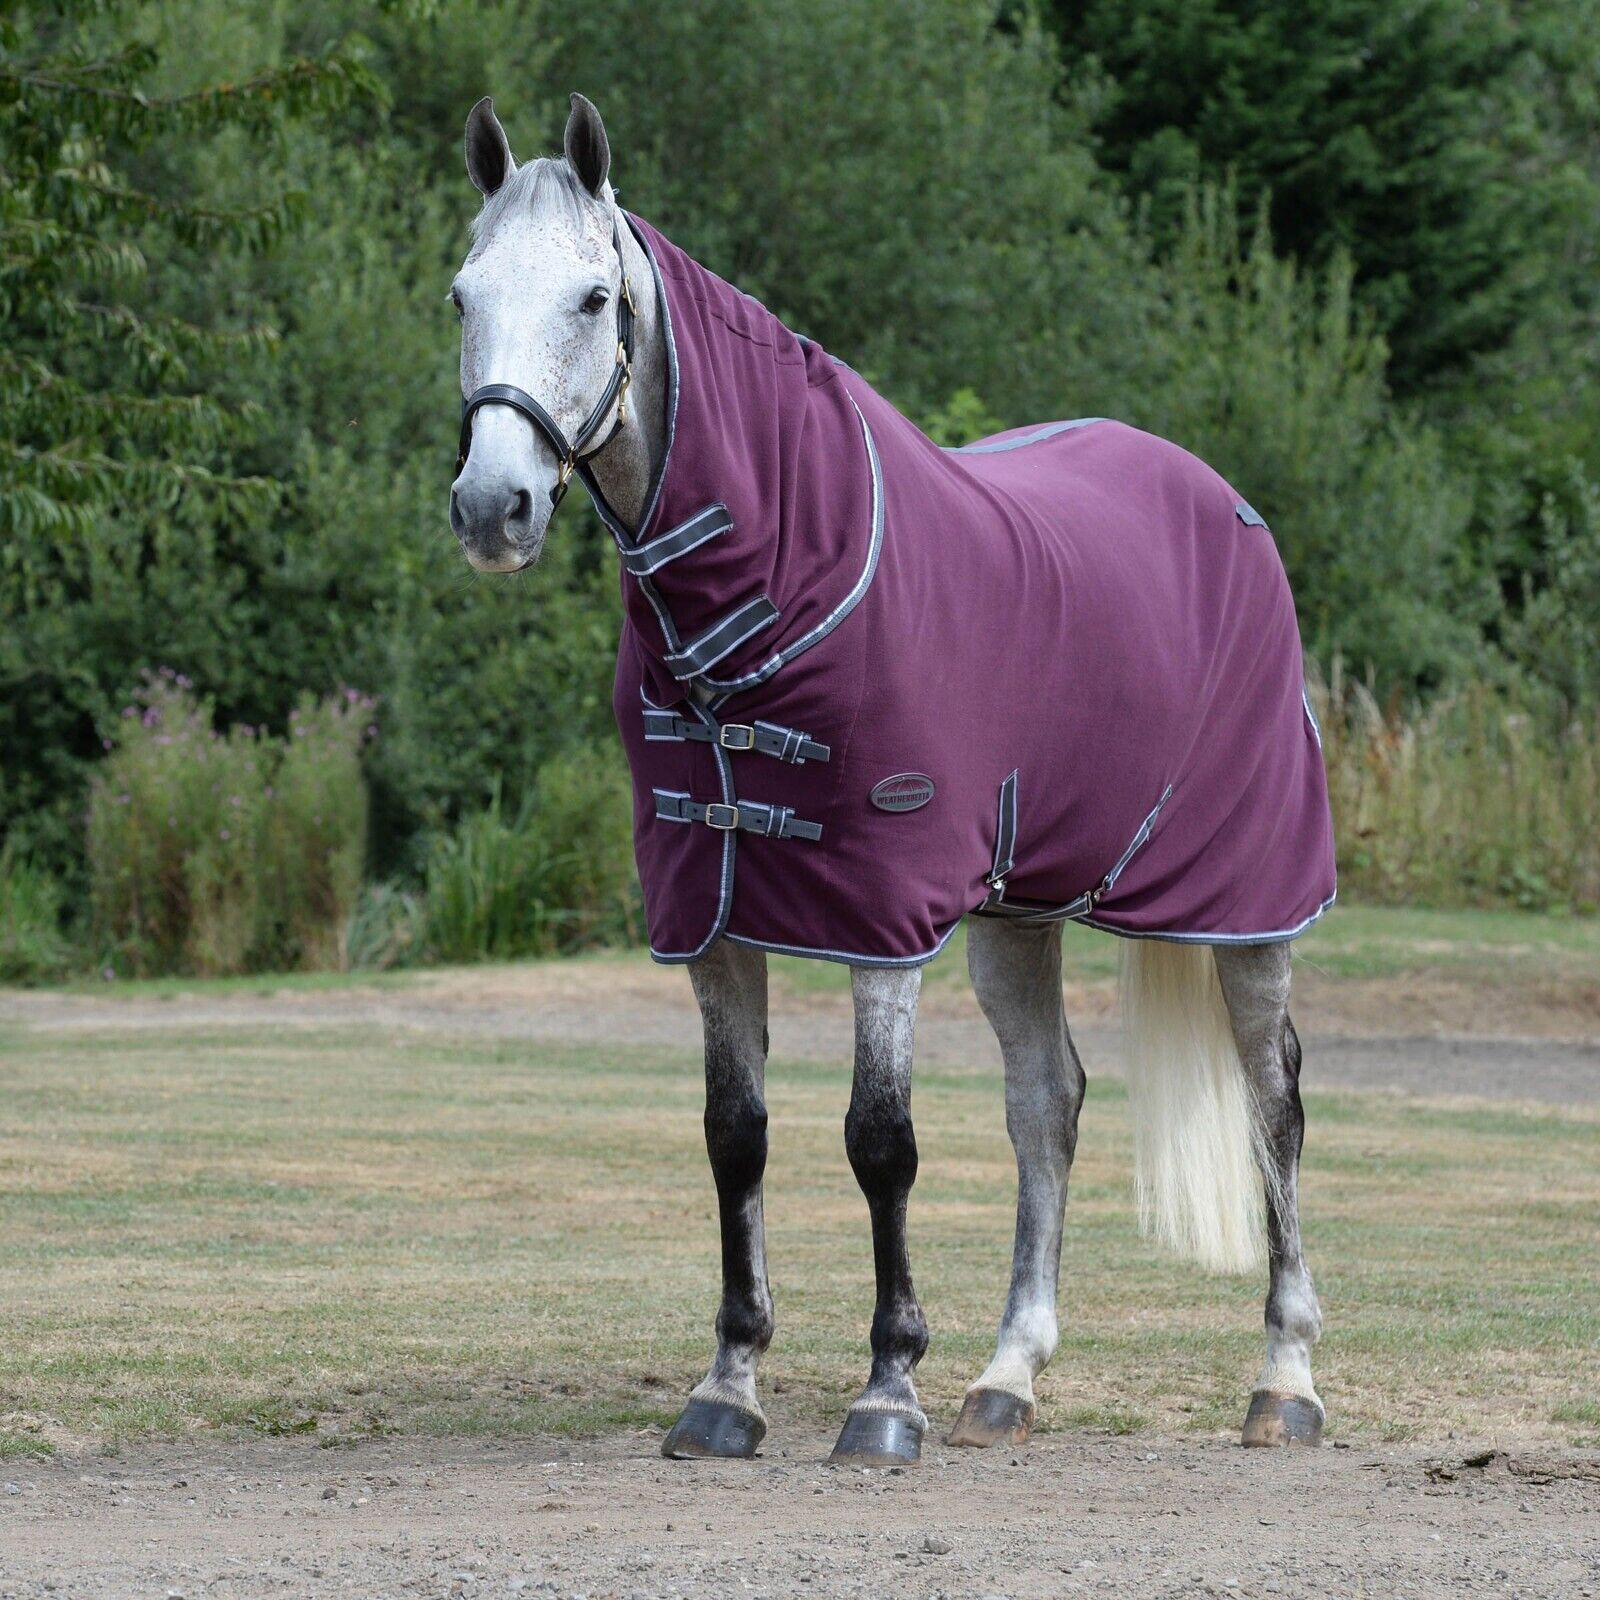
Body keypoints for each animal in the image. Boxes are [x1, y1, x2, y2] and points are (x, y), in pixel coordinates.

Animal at [447, 93, 1334, 1466]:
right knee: (1047, 1102)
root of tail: (1221, 500)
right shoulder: (708, 912)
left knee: (1272, 1098)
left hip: (1246, 907)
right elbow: (734, 1136)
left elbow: (879, 1140)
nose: (494, 507)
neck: (776, 585)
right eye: (462, 295)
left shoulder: (882, 914)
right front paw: (728, 1388)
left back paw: (1283, 1379)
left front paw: (885, 1390)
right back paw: (1009, 1374)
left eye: (593, 297)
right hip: (1020, 911)